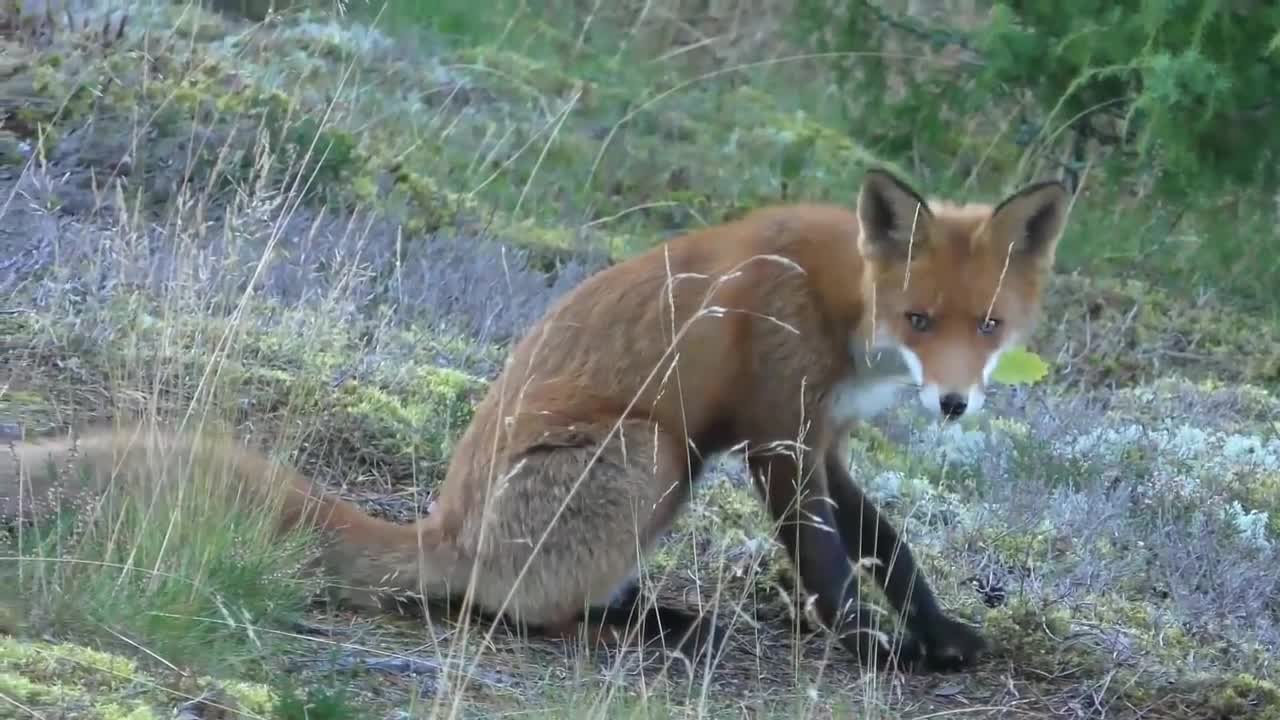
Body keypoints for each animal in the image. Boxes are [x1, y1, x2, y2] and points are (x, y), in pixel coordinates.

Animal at [5, 167, 1070, 671]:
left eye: (987, 327)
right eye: (919, 320)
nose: (953, 401)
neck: (836, 300)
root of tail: (447, 527)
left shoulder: (825, 436)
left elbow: (890, 545)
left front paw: (937, 631)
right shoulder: (778, 437)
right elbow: (828, 564)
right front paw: (871, 651)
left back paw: (650, 612)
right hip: (651, 451)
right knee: (513, 607)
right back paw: (635, 628)